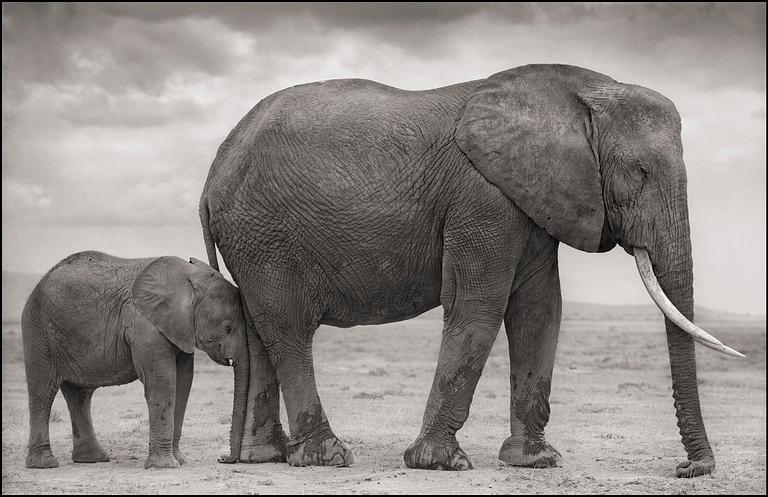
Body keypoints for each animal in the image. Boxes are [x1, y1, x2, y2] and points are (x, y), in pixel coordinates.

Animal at [21, 252, 249, 468]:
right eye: (228, 328)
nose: (222, 458)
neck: (189, 277)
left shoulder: (180, 329)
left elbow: (183, 384)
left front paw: (179, 461)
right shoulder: (144, 324)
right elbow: (161, 385)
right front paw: (164, 466)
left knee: (79, 396)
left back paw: (93, 459)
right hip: (38, 329)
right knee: (43, 392)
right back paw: (45, 464)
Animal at [201, 64, 740, 474]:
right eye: (640, 173)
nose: (687, 468)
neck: (579, 91)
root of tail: (211, 177)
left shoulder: (530, 202)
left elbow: (539, 312)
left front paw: (535, 462)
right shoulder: (482, 199)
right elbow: (478, 307)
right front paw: (440, 464)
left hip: (252, 239)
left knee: (258, 332)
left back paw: (265, 457)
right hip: (264, 235)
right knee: (288, 328)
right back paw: (327, 457)